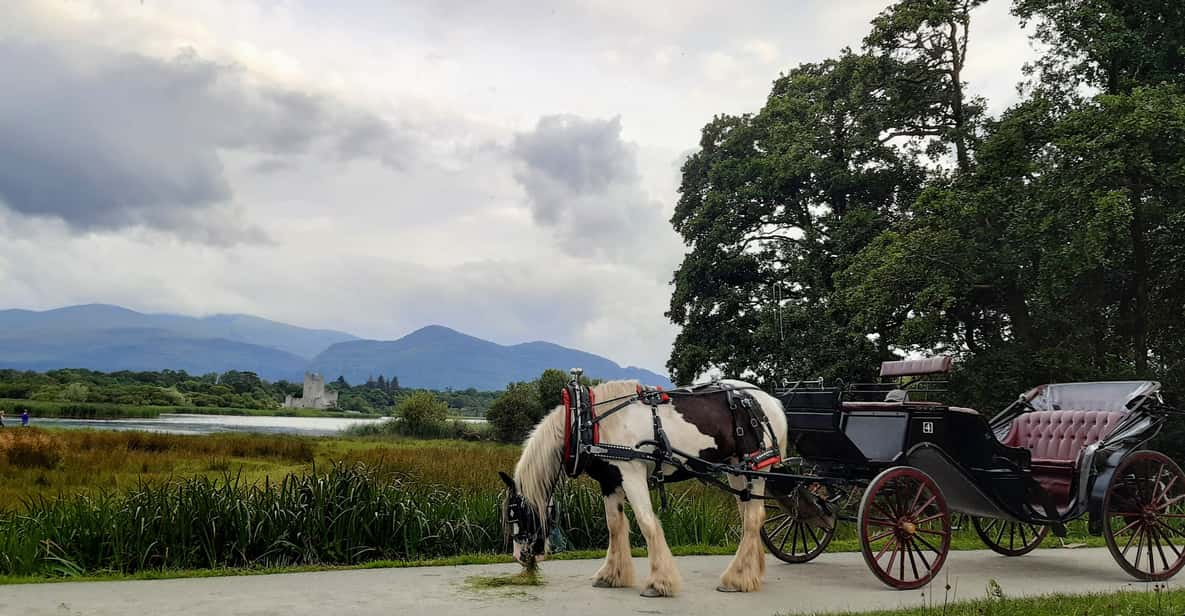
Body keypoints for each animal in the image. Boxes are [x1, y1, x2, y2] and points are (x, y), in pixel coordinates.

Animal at [497, 376, 786, 599]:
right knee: (749, 517)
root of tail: (770, 400)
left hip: (755, 469)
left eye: (517, 514)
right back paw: (750, 572)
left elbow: (646, 522)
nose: (519, 557)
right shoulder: (610, 480)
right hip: (737, 471)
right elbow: (614, 525)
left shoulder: (631, 472)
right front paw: (611, 575)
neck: (587, 423)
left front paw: (659, 583)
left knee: (753, 518)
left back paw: (736, 579)